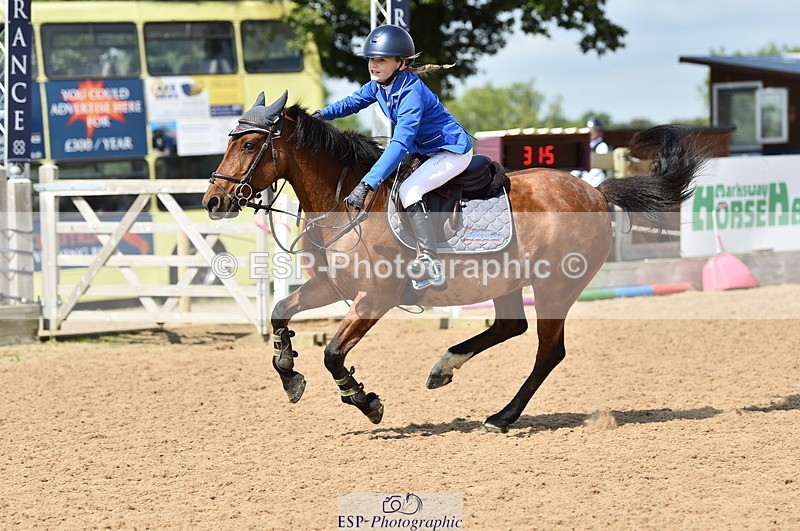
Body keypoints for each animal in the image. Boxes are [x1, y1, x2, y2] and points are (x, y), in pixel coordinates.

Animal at [202, 91, 708, 433]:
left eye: (249, 146)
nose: (213, 201)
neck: (344, 202)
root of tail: (596, 192)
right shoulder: (331, 286)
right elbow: (280, 312)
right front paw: (289, 372)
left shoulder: (375, 296)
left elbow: (333, 354)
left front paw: (365, 401)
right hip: (509, 280)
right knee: (510, 327)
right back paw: (445, 367)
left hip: (555, 287)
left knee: (548, 350)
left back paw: (502, 416)